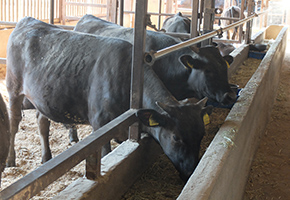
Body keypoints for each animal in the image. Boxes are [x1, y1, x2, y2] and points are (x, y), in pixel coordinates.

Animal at [5, 16, 212, 180]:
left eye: (201, 134)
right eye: (176, 137)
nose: (191, 170)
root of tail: (28, 21)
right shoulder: (100, 124)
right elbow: (105, 153)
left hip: (43, 97)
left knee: (42, 122)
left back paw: (46, 157)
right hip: (13, 90)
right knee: (13, 124)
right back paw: (10, 160)